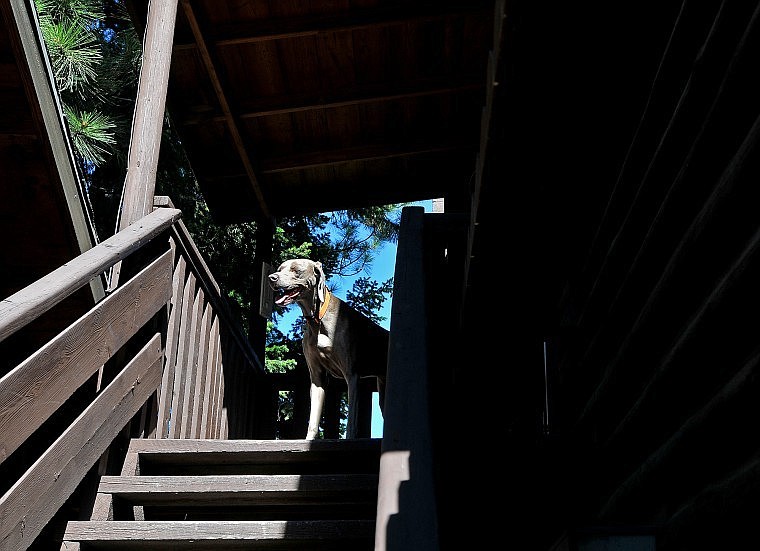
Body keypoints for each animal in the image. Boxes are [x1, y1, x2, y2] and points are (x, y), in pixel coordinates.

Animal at [268, 258, 386, 440]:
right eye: (280, 269)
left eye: (296, 270)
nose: (272, 277)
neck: (317, 319)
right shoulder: (317, 377)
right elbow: (313, 418)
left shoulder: (352, 376)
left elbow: (352, 421)